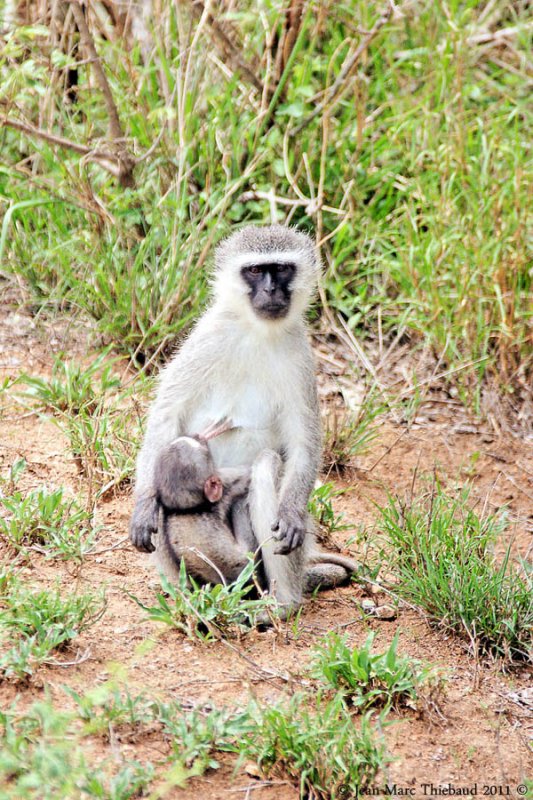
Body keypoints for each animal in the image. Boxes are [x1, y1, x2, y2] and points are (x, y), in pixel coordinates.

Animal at [129, 225, 342, 612]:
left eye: (281, 269)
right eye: (255, 271)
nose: (271, 290)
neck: (258, 332)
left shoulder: (301, 358)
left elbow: (303, 443)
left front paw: (291, 512)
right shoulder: (207, 339)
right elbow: (166, 414)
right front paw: (143, 505)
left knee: (266, 466)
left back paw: (281, 604)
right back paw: (185, 600)